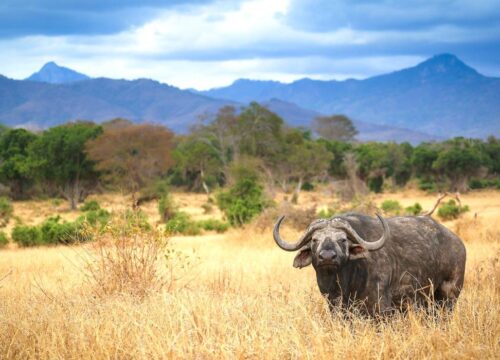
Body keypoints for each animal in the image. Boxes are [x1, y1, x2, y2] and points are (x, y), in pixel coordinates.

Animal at [274, 212, 464, 316]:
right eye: (314, 240)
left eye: (343, 240)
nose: (327, 256)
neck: (344, 283)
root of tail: (457, 242)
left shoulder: (382, 308)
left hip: (449, 295)